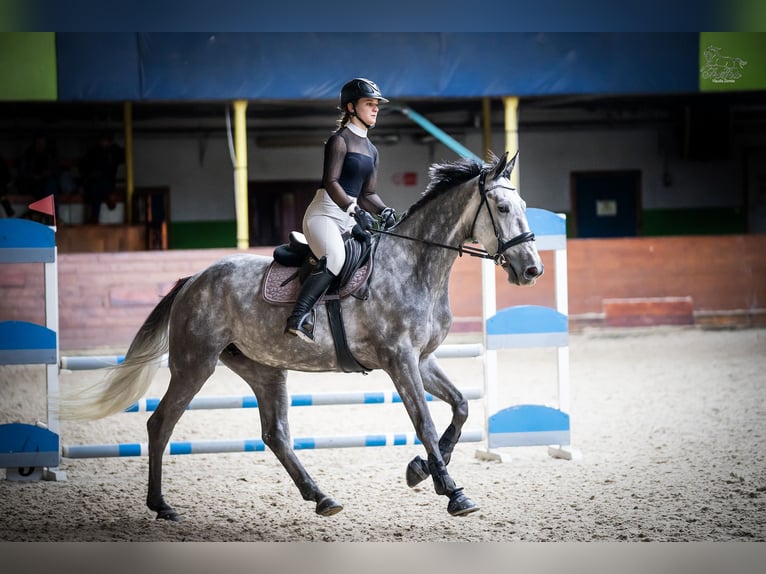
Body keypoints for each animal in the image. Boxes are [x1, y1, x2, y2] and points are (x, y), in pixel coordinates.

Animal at [63, 152, 544, 520]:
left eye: (523, 204)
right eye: (503, 209)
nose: (532, 269)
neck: (414, 264)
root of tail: (194, 279)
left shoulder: (423, 360)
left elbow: (460, 408)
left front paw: (420, 470)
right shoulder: (400, 360)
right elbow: (423, 422)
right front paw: (452, 490)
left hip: (263, 369)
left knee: (276, 434)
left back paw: (322, 497)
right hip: (194, 364)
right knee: (161, 423)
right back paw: (161, 505)